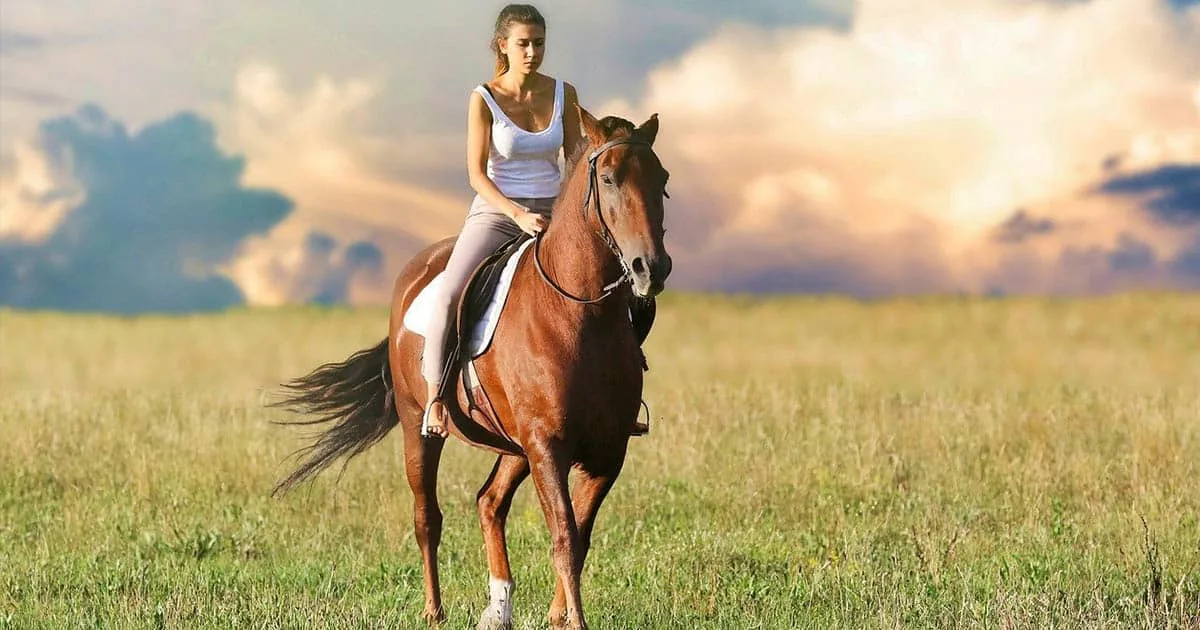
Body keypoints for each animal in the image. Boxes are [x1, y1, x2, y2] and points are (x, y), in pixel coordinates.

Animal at [268, 106, 672, 630]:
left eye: (662, 179)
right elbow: (564, 537)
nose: (651, 268)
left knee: (489, 502)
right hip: (419, 430)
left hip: (514, 446)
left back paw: (498, 609)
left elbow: (578, 539)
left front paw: (558, 617)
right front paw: (573, 620)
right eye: (608, 178)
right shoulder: (548, 448)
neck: (579, 313)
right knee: (427, 517)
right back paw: (434, 610)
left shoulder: (606, 452)